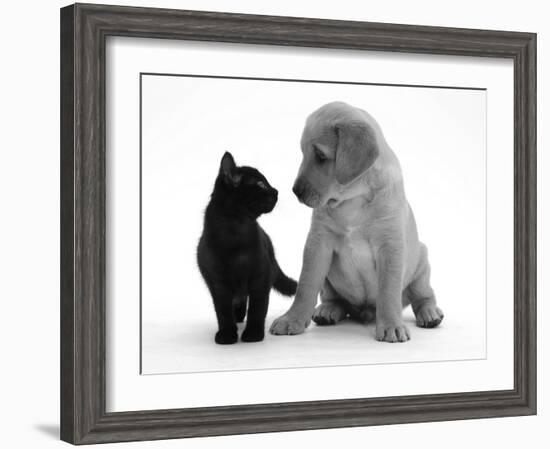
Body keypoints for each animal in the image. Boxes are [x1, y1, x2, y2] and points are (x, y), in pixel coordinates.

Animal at [197, 150, 298, 344]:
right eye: (260, 184)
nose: (276, 191)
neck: (237, 231)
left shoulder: (261, 277)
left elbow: (258, 308)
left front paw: (253, 334)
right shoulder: (218, 282)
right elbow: (222, 311)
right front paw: (227, 334)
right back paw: (237, 318)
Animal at [270, 101, 446, 342]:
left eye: (321, 156)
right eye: (303, 153)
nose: (295, 191)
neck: (354, 200)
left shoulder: (390, 246)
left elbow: (388, 292)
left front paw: (391, 325)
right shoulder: (318, 243)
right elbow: (306, 286)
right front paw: (291, 319)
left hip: (421, 263)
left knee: (423, 295)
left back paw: (430, 313)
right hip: (329, 281)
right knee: (334, 299)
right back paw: (327, 310)